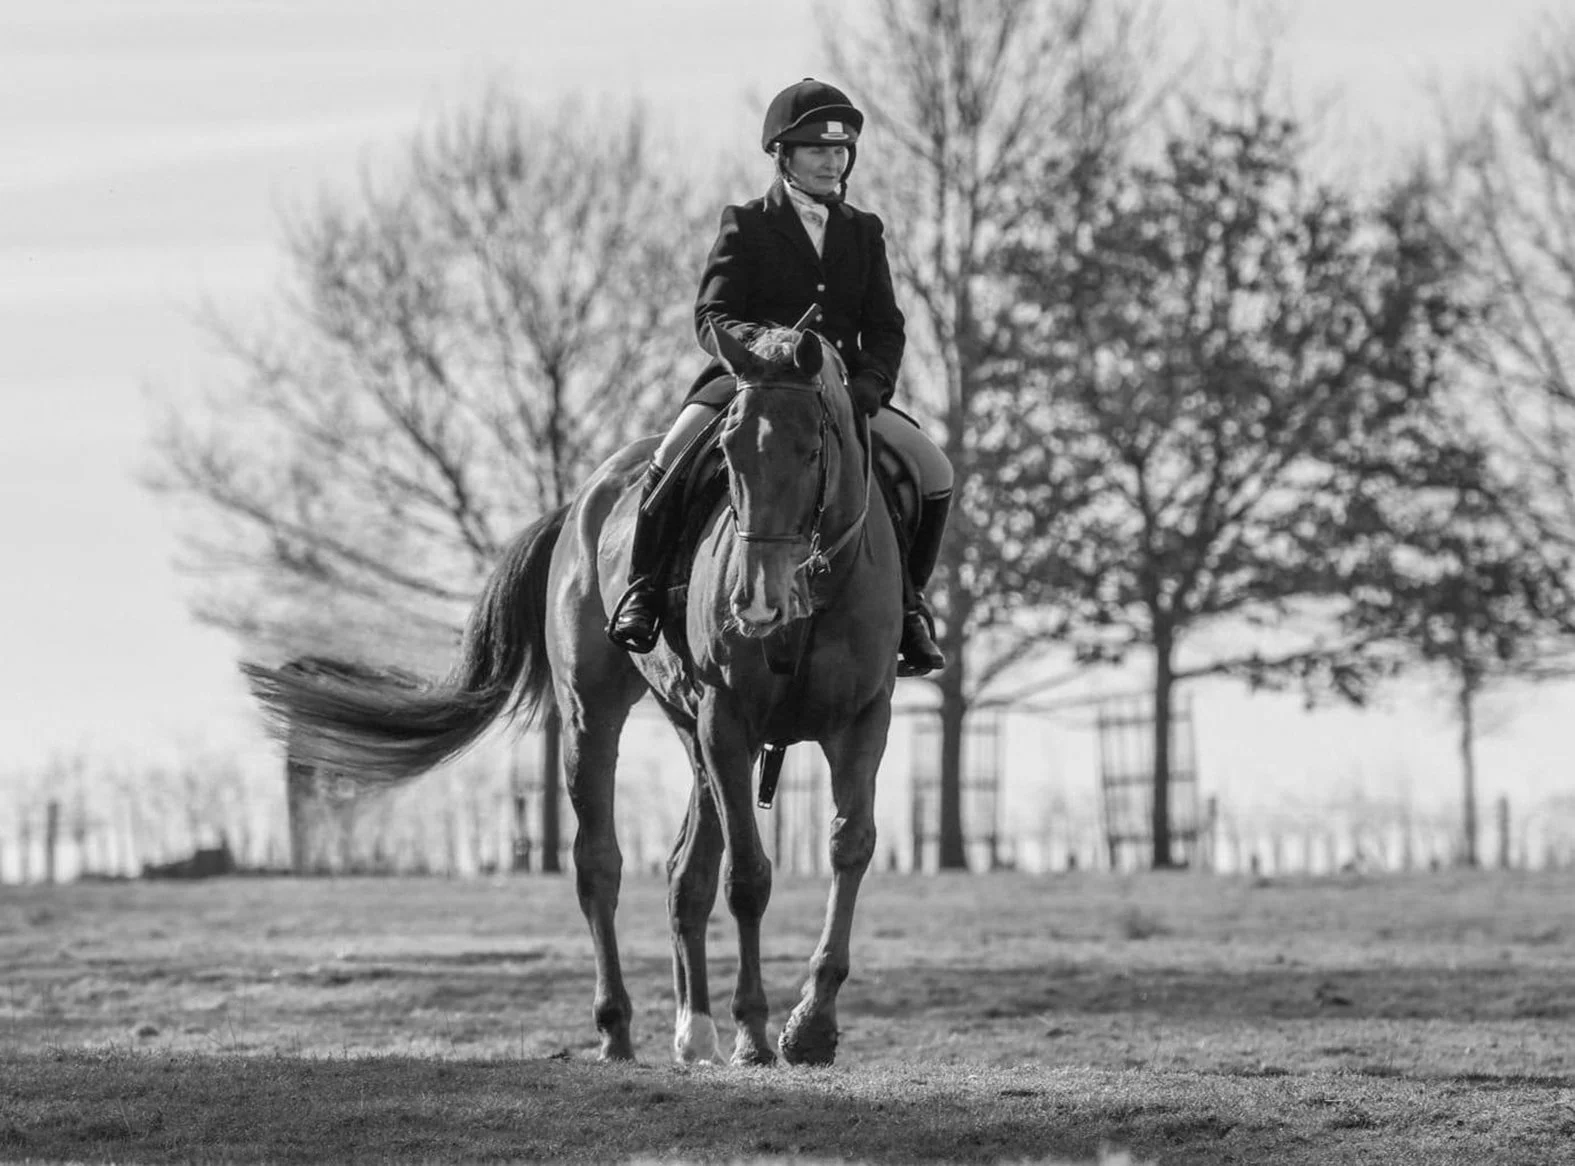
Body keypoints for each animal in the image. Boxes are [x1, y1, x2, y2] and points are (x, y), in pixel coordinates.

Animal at [243, 323, 904, 1066]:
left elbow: (849, 847)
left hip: (691, 730)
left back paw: (694, 1030)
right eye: (729, 450)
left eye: (812, 449)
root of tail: (581, 501)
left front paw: (812, 1024)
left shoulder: (862, 720)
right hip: (602, 716)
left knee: (685, 873)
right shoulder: (727, 719)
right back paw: (618, 1026)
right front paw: (755, 1031)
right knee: (598, 865)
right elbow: (749, 877)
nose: (757, 601)